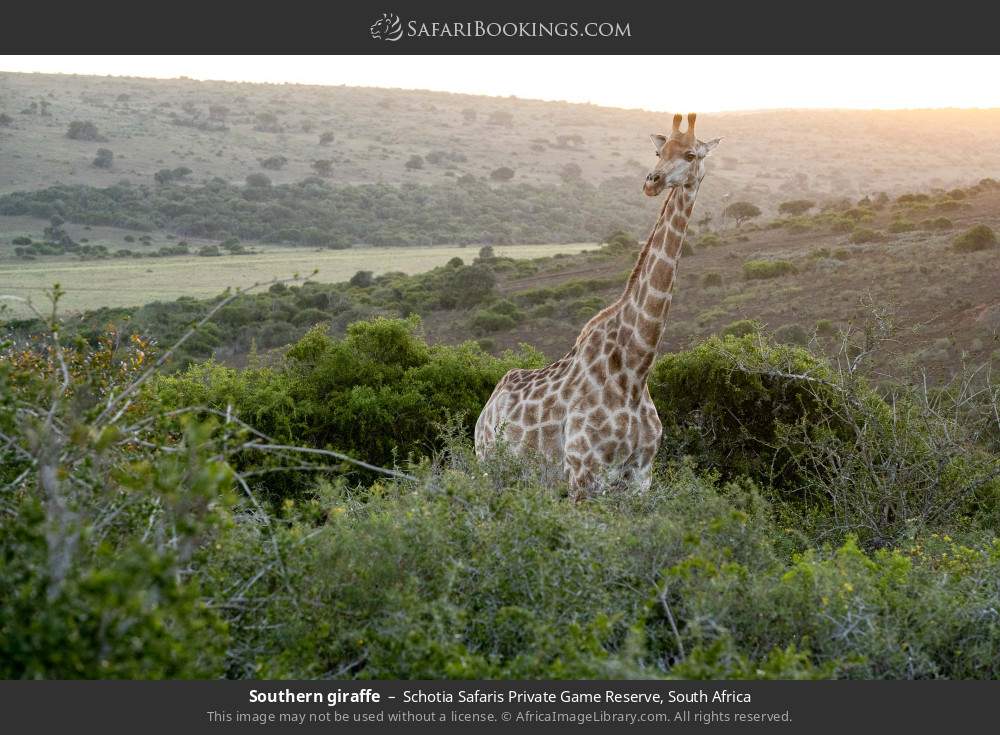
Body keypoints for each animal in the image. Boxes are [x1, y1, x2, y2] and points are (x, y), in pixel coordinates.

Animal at [475, 113, 721, 496]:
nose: (652, 182)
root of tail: (485, 410)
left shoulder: (640, 476)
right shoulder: (583, 471)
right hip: (489, 465)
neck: (635, 369)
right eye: (658, 151)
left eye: (691, 155)